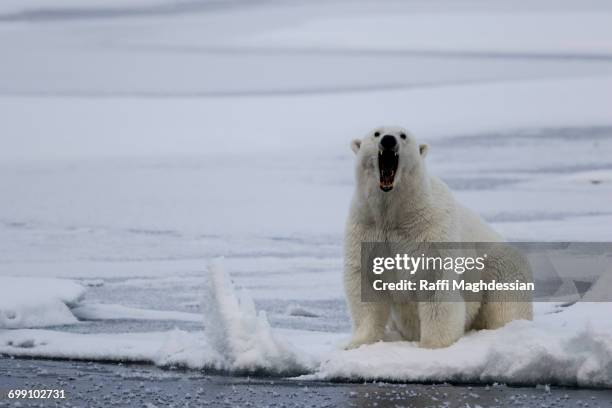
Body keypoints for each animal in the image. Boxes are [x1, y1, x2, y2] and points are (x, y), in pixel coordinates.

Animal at [344, 126, 532, 350]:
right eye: (376, 133)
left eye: (403, 135)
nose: (388, 140)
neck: (395, 213)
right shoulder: (367, 228)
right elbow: (366, 284)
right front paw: (355, 343)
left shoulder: (429, 228)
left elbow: (436, 282)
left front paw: (432, 345)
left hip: (498, 266)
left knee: (505, 301)